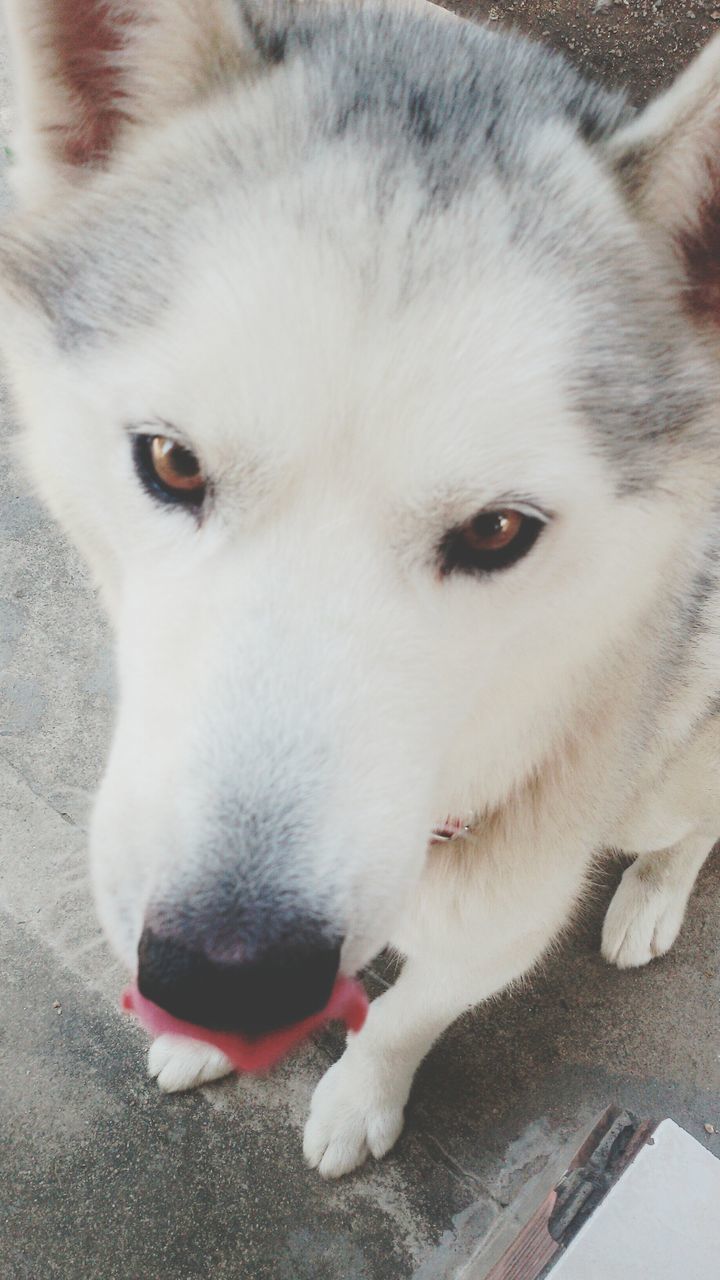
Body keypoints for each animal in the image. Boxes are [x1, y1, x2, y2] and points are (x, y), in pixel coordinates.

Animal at [1, 0, 717, 1177]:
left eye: (498, 530)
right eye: (172, 462)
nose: (225, 973)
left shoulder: (499, 924)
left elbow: (407, 1015)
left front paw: (359, 1093)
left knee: (692, 819)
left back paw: (652, 893)